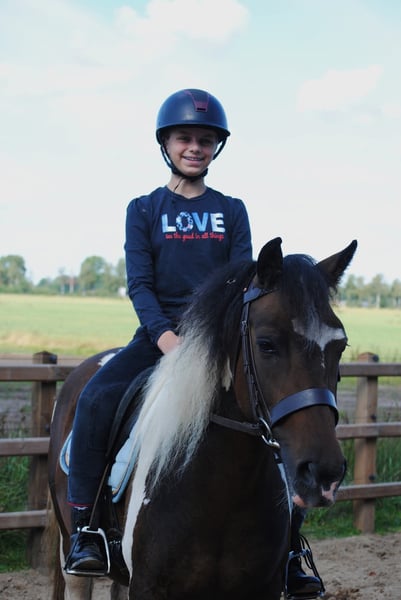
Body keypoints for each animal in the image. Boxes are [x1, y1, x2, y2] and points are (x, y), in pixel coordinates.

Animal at [48, 237, 357, 600]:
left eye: (340, 346)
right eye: (266, 344)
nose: (324, 473)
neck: (221, 493)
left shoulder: (261, 588)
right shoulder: (148, 587)